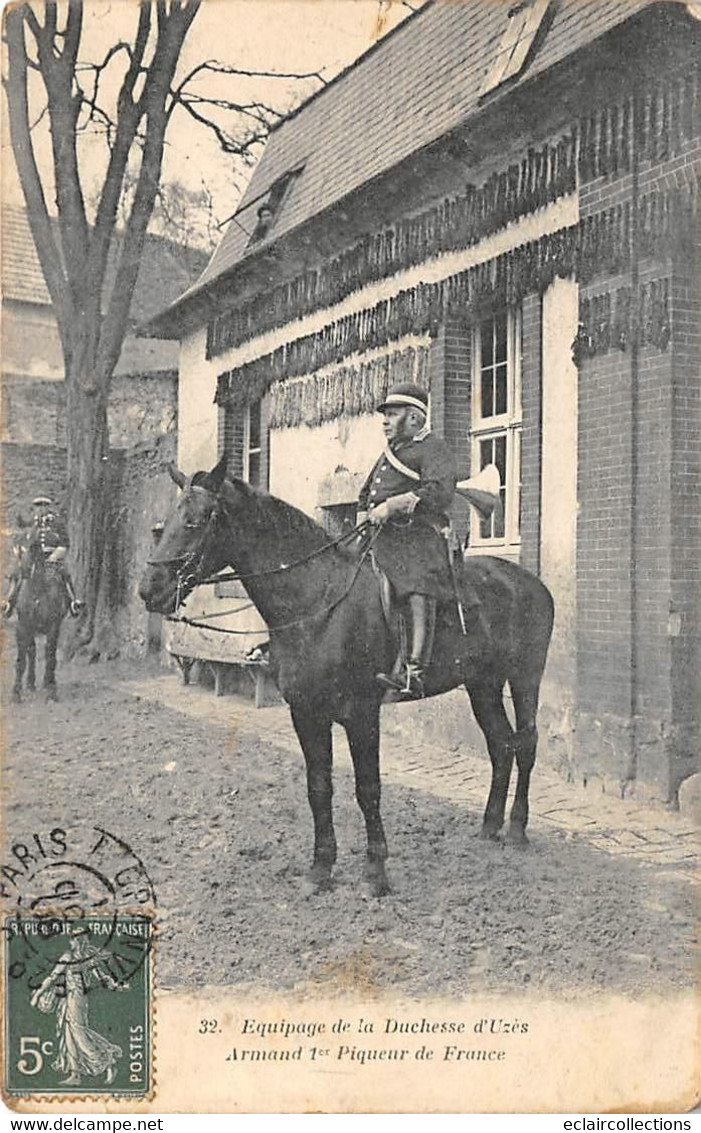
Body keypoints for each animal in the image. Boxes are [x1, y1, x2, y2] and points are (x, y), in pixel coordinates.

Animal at [10, 534, 69, 702]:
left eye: (34, 546)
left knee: (47, 652)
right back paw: (30, 683)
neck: (37, 592)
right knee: (32, 651)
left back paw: (47, 682)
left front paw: (52, 691)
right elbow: (21, 660)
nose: (23, 571)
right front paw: (16, 692)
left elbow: (50, 656)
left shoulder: (53, 626)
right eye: (19, 546)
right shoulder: (22, 626)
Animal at [138, 455, 554, 897]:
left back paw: (516, 829)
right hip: (482, 684)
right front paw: (321, 867)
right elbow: (319, 787)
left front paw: (376, 871)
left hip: (525, 678)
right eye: (166, 522)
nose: (149, 590)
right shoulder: (306, 713)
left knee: (525, 743)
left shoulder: (362, 714)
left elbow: (367, 788)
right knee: (501, 745)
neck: (317, 602)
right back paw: (490, 826)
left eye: (196, 521)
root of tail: (532, 582)